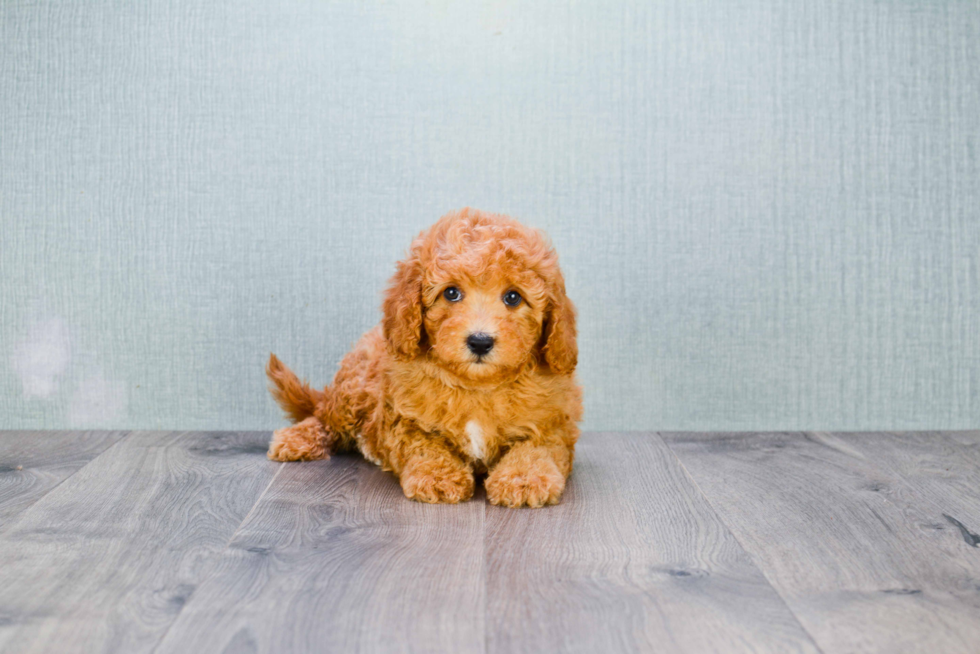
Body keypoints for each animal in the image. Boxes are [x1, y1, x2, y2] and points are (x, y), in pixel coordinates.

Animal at [264, 208, 580, 510]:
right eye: (451, 293)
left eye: (513, 297)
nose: (480, 341)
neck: (477, 387)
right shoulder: (405, 420)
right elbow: (426, 446)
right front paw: (438, 477)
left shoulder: (552, 424)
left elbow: (535, 450)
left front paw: (524, 479)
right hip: (353, 390)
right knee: (323, 416)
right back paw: (297, 439)